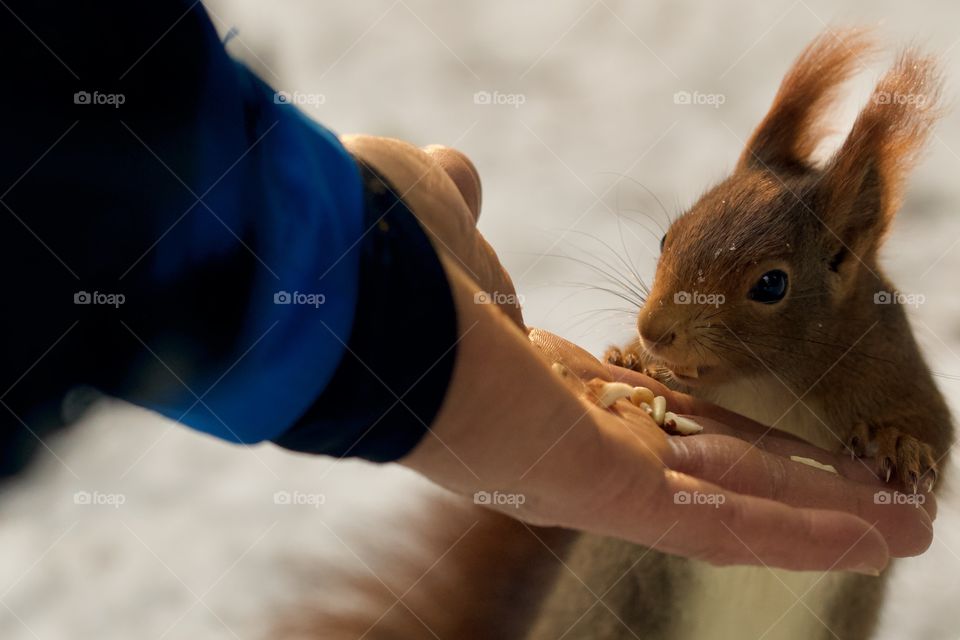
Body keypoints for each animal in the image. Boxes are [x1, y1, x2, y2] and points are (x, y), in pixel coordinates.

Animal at [525, 29, 953, 640]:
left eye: (771, 284)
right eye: (668, 236)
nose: (652, 331)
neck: (766, 382)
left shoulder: (890, 365)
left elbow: (935, 447)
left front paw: (898, 442)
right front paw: (631, 360)